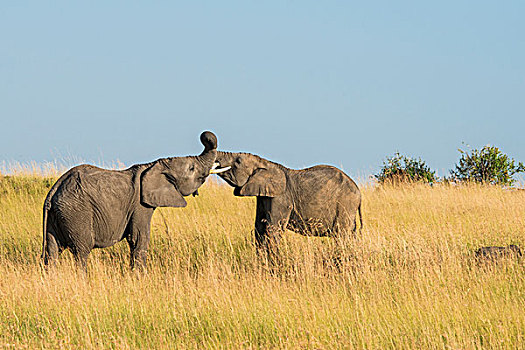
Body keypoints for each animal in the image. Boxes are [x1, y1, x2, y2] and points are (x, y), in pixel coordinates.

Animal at [41, 130, 229, 270]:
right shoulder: (140, 205)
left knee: (52, 251)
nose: (204, 135)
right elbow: (138, 238)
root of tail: (53, 192)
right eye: (191, 168)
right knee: (81, 251)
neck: (153, 165)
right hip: (76, 213)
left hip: (57, 216)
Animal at [213, 152, 360, 256]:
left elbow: (273, 230)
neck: (265, 163)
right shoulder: (263, 198)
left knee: (342, 236)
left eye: (238, 161)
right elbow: (259, 229)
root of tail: (359, 193)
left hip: (345, 206)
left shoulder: (281, 198)